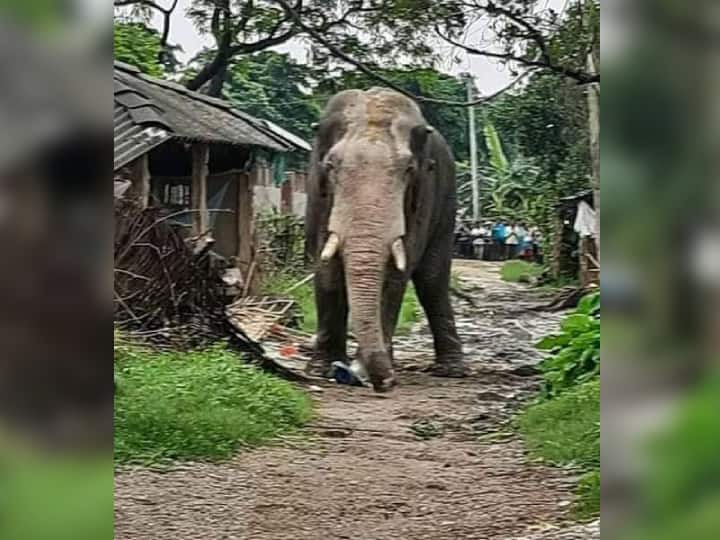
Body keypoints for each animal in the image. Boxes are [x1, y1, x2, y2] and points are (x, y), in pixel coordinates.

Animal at [306, 88, 466, 392]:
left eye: (409, 169)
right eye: (331, 166)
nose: (386, 382)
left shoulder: (422, 195)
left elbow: (396, 272)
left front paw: (362, 371)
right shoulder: (317, 195)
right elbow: (325, 266)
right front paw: (321, 369)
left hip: (448, 199)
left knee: (432, 281)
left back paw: (451, 370)